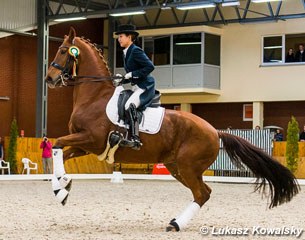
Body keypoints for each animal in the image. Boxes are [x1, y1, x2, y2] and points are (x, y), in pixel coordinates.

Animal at [45, 27, 300, 232]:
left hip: (187, 166)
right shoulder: (88, 146)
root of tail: (214, 131)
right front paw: (61, 187)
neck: (94, 97)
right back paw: (176, 222)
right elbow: (61, 154)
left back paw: (176, 224)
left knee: (201, 193)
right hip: (178, 167)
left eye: (63, 51)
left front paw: (62, 187)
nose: (49, 79)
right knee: (204, 192)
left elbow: (57, 143)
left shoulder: (91, 139)